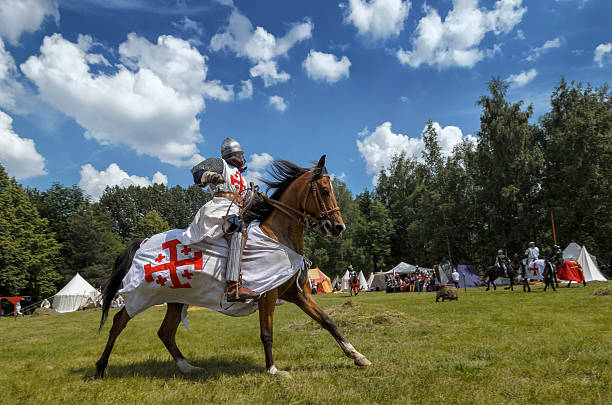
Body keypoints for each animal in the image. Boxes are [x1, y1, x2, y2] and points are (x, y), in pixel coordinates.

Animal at [94, 155, 372, 378]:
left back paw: (187, 367)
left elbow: (328, 321)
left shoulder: (296, 293)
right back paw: (99, 368)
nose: (338, 227)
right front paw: (273, 370)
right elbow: (267, 333)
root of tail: (142, 242)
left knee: (166, 332)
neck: (277, 235)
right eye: (324, 190)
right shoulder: (267, 295)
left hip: (176, 298)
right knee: (119, 322)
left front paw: (357, 356)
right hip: (142, 294)